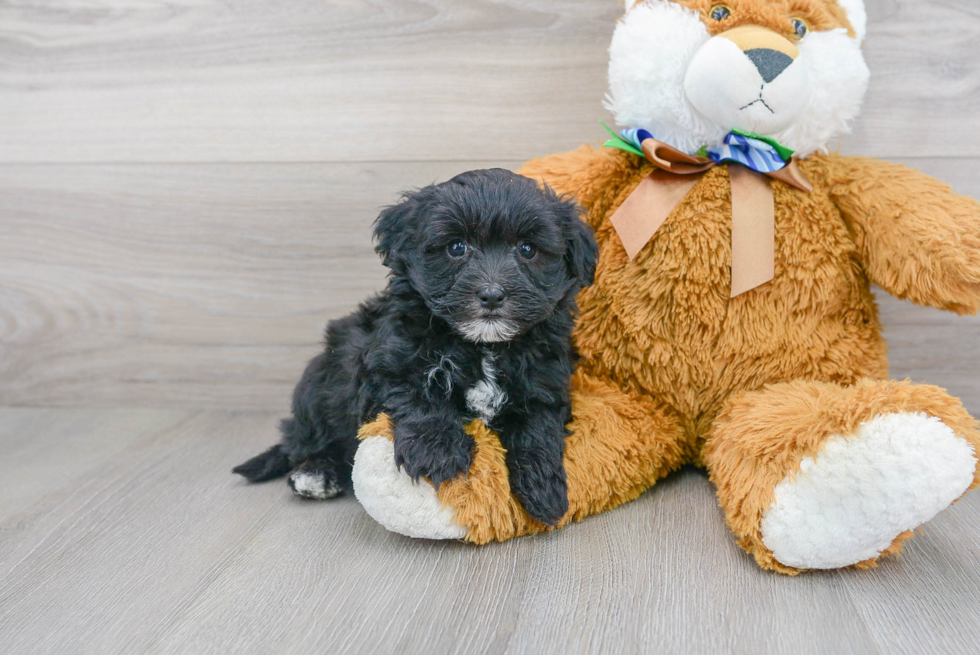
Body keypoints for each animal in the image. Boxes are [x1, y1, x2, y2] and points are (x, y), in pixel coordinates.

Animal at [235, 170, 596, 528]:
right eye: (456, 247)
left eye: (527, 249)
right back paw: (317, 473)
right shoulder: (390, 359)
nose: (492, 295)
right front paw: (437, 452)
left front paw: (544, 488)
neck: (483, 345)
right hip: (318, 384)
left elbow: (538, 428)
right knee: (306, 441)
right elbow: (419, 395)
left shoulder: (544, 381)